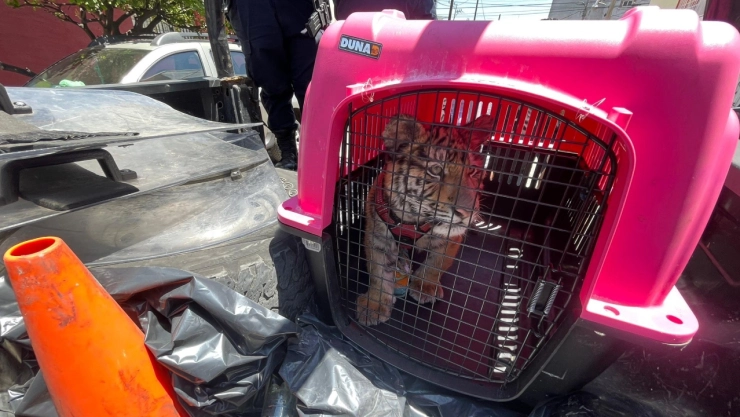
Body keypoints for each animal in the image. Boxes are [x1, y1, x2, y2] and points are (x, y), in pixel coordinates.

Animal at [356, 113, 495, 326]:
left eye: (472, 171)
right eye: (436, 170)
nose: (468, 213)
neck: (413, 217)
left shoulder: (450, 240)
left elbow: (437, 263)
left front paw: (424, 287)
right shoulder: (376, 236)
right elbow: (377, 272)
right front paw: (374, 305)